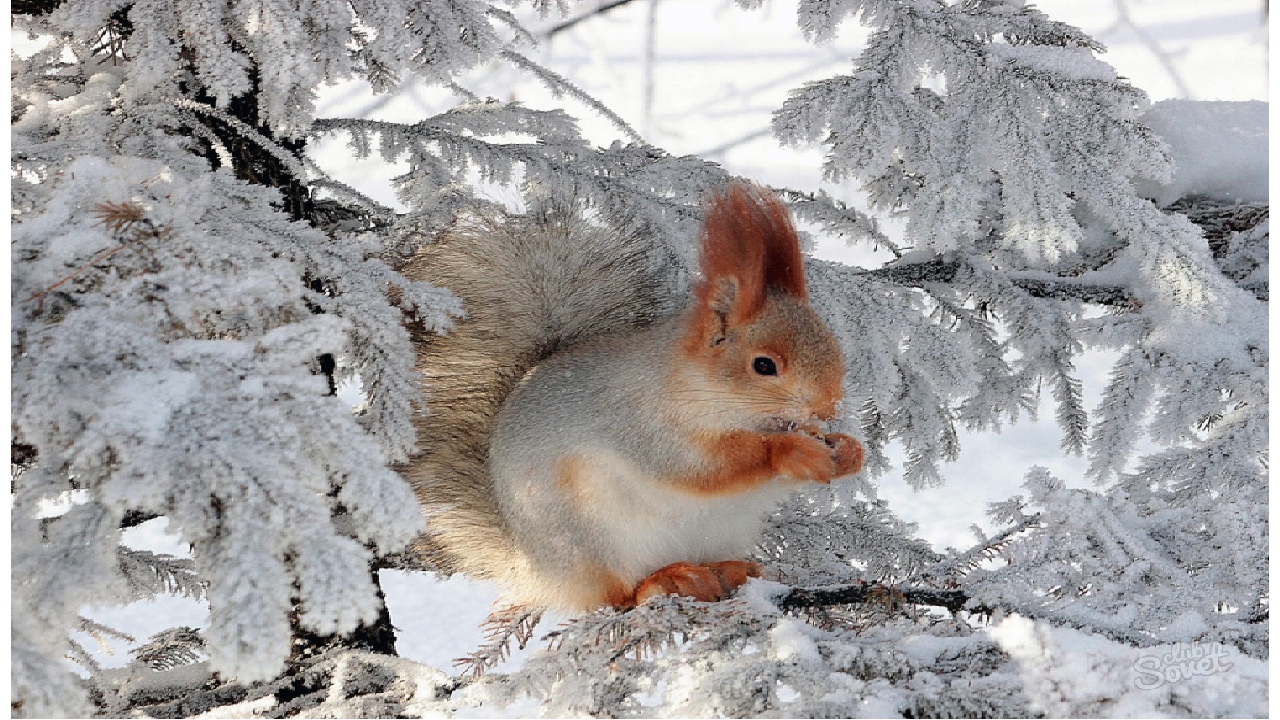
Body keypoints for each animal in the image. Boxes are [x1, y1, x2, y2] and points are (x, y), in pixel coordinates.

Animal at [404, 181, 865, 607]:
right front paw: (791, 450)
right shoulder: (642, 423)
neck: (701, 388)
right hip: (594, 536)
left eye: (832, 343)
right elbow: (704, 468)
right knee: (617, 596)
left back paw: (730, 570)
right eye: (764, 365)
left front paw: (847, 450)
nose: (829, 407)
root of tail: (533, 566)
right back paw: (667, 580)